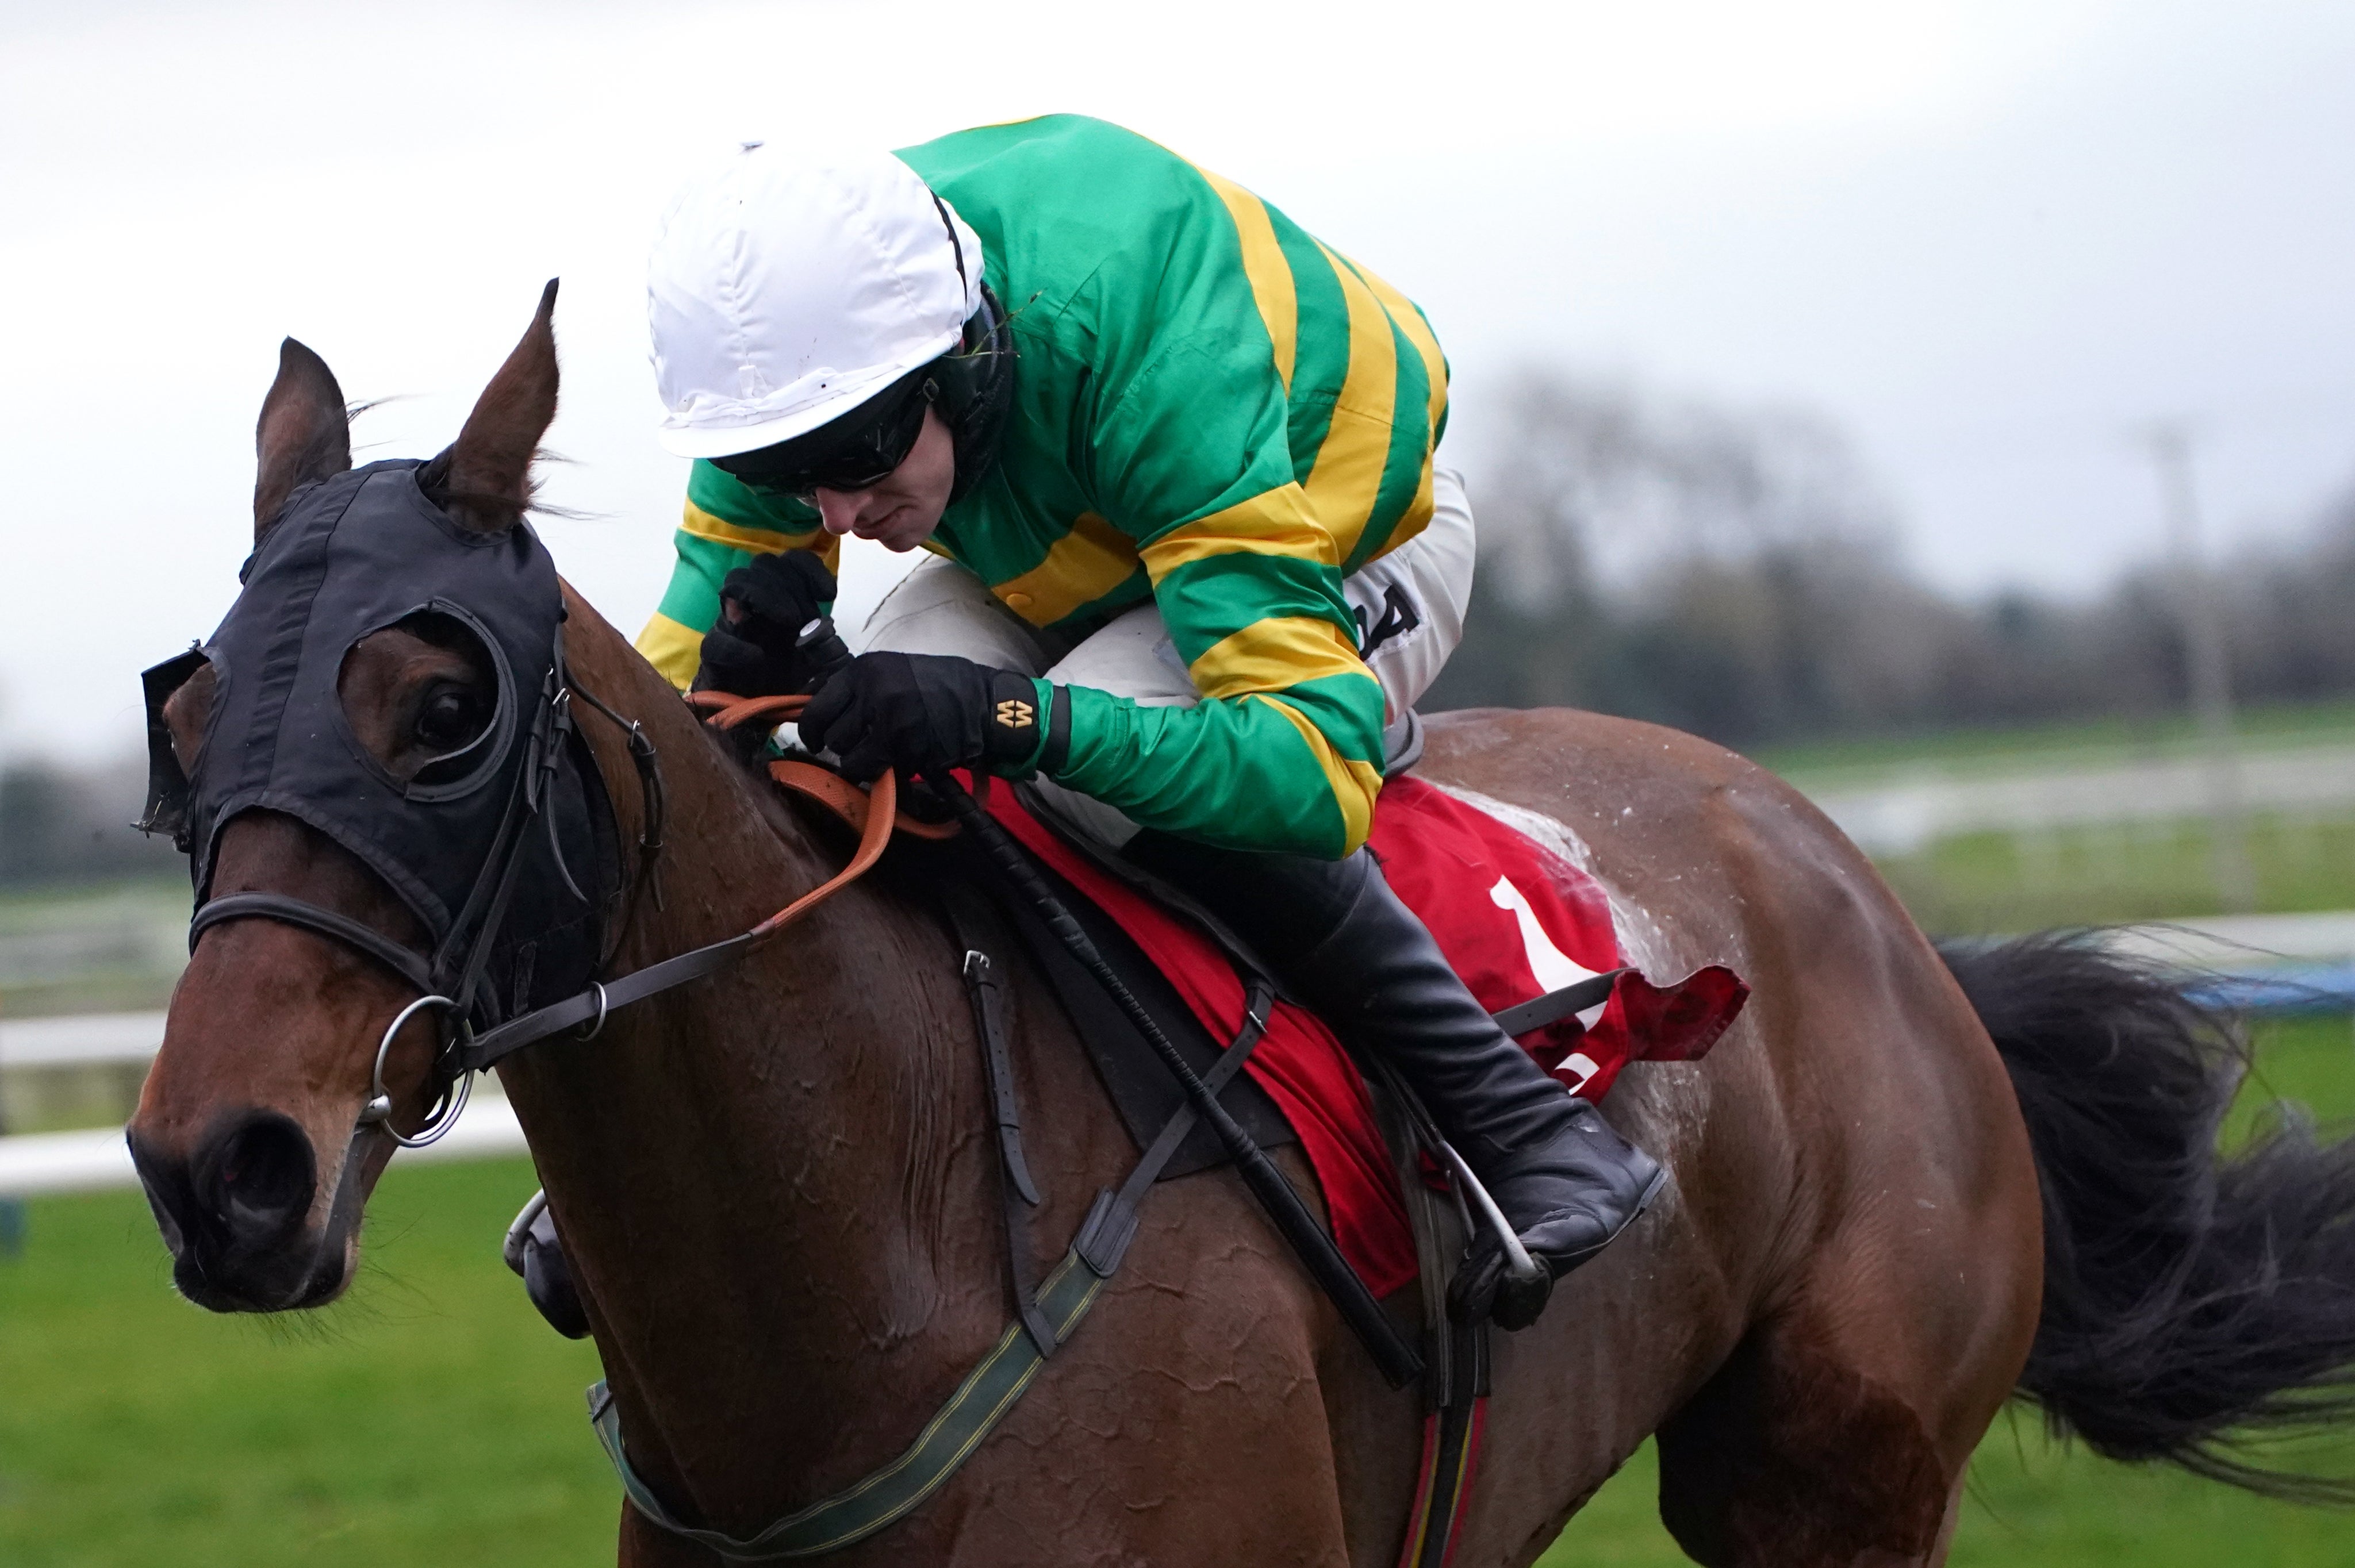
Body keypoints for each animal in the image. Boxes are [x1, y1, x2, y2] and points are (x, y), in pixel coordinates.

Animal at [124, 289, 2355, 1554]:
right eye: (190, 710)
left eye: (440, 711)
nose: (217, 1170)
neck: (883, 1238)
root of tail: (1873, 902)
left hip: (1831, 1476)